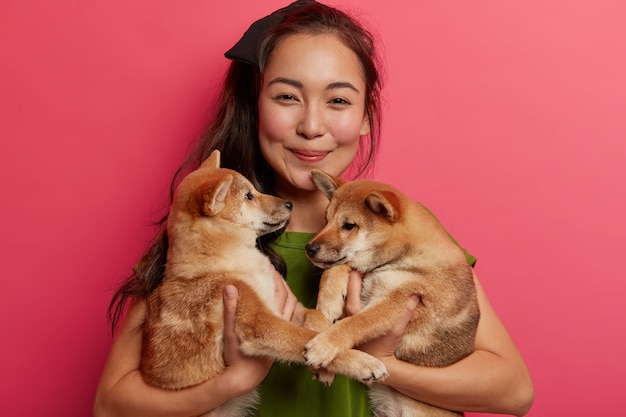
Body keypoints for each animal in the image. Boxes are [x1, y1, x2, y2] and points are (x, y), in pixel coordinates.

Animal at [141, 150, 386, 416]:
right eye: (249, 196)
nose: (289, 203)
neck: (226, 262)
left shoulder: (283, 306)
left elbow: (313, 320)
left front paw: (327, 344)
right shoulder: (260, 322)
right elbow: (299, 337)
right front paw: (360, 361)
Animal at [302, 169, 478, 416]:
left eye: (349, 225)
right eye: (325, 220)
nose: (309, 248)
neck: (403, 256)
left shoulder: (404, 300)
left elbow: (356, 322)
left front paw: (324, 345)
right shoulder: (362, 270)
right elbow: (337, 267)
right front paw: (328, 301)